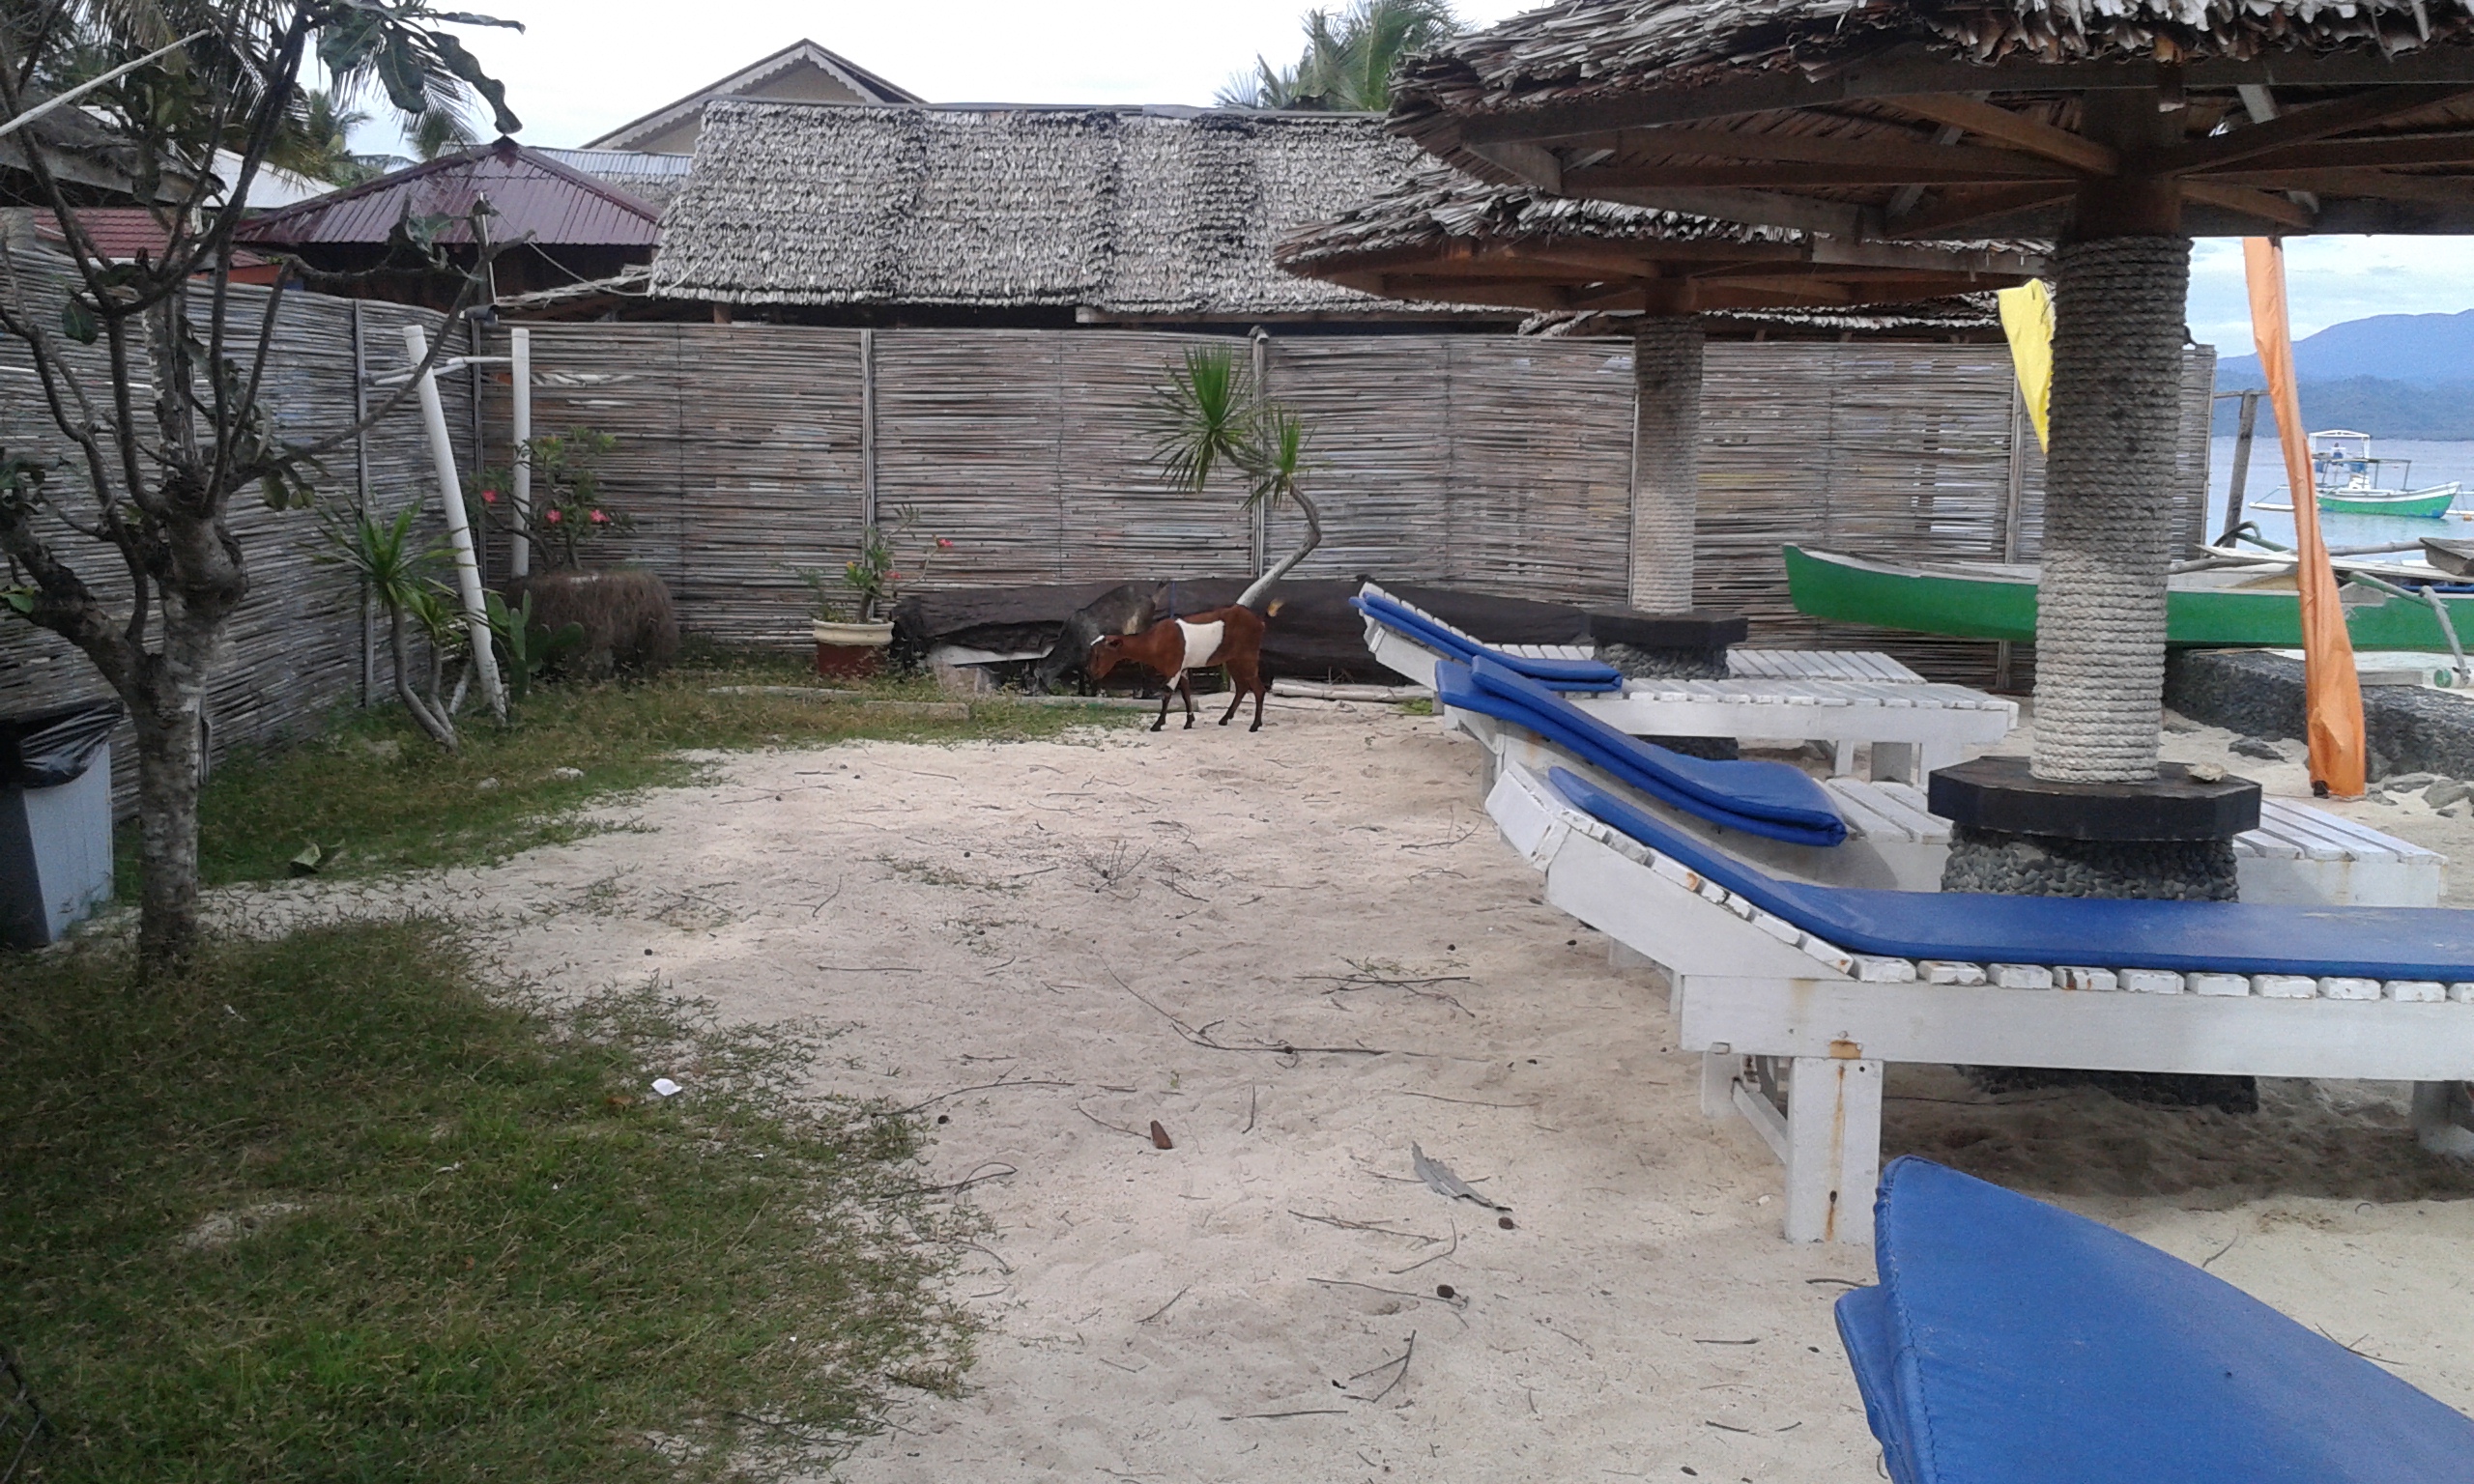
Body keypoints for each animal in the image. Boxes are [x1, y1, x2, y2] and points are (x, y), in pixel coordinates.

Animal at [1088, 603, 1266, 731]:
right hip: (1233, 659)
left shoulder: (1173, 667)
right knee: (1242, 686)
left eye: (1099, 654)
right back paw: (1224, 719)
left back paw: (1255, 725)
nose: (1092, 673)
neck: (1154, 641)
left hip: (1248, 655)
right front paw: (1189, 722)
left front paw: (1157, 724)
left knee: (1258, 688)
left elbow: (1167, 693)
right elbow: (1186, 693)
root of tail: (1259, 622)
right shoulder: (1182, 668)